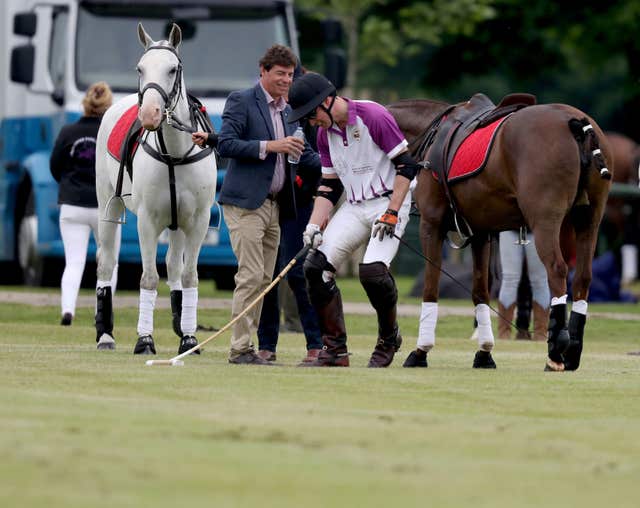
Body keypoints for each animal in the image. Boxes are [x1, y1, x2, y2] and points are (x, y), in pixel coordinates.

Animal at [94, 23, 216, 356]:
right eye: (140, 68)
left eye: (173, 69)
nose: (149, 114)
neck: (175, 153)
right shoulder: (147, 220)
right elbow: (148, 278)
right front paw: (145, 340)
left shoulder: (197, 221)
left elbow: (188, 275)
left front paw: (189, 338)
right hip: (108, 207)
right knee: (105, 262)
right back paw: (105, 335)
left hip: (176, 223)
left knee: (174, 267)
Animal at [388, 98, 612, 370]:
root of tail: (578, 124)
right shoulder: (480, 232)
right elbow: (480, 291)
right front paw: (484, 353)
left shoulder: (431, 224)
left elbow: (431, 287)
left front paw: (421, 352)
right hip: (589, 220)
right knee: (583, 278)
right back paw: (572, 353)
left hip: (545, 221)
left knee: (557, 270)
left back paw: (555, 352)